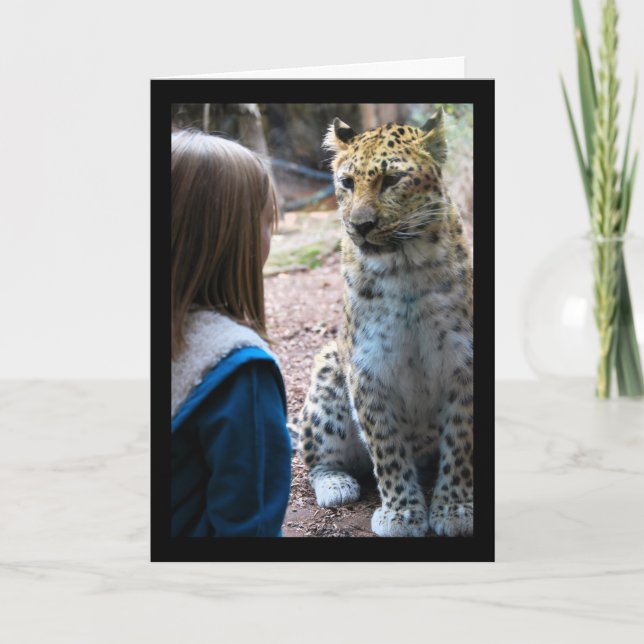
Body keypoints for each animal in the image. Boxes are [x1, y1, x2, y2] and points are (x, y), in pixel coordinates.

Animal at [297, 110, 474, 537]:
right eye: (347, 183)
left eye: (392, 180)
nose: (360, 225)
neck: (404, 266)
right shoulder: (368, 366)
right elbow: (386, 445)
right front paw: (402, 513)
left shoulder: (463, 361)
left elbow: (460, 440)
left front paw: (453, 507)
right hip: (328, 372)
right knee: (315, 458)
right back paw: (336, 485)